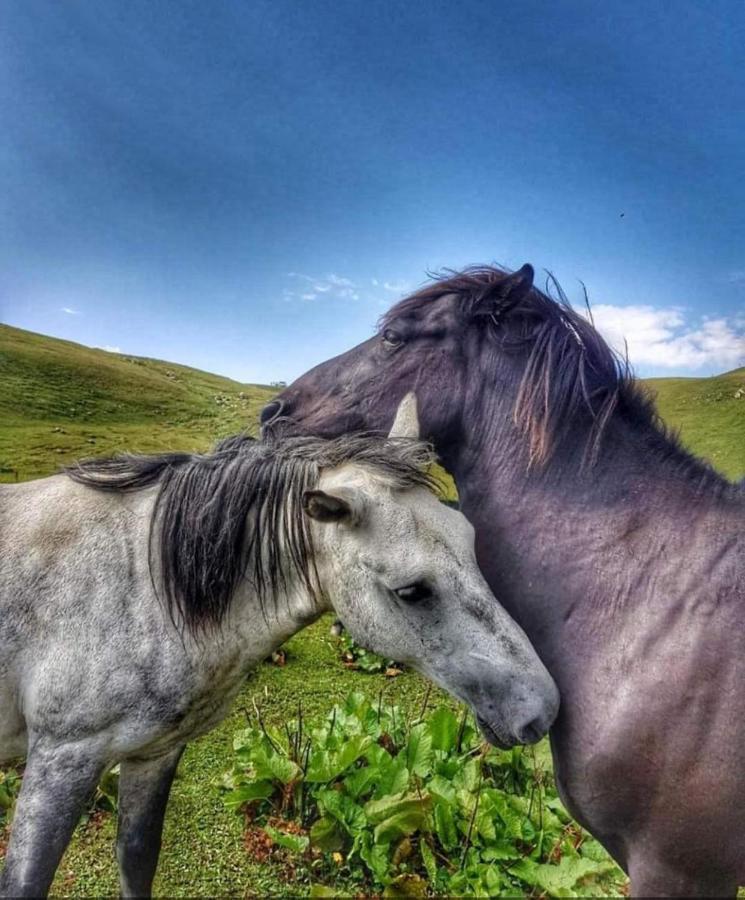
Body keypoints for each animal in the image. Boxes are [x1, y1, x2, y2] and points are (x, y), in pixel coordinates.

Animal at [0, 398, 560, 896]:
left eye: (469, 538)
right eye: (410, 591)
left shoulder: (153, 753)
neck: (146, 581)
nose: (543, 709)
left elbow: (136, 860)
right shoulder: (62, 760)